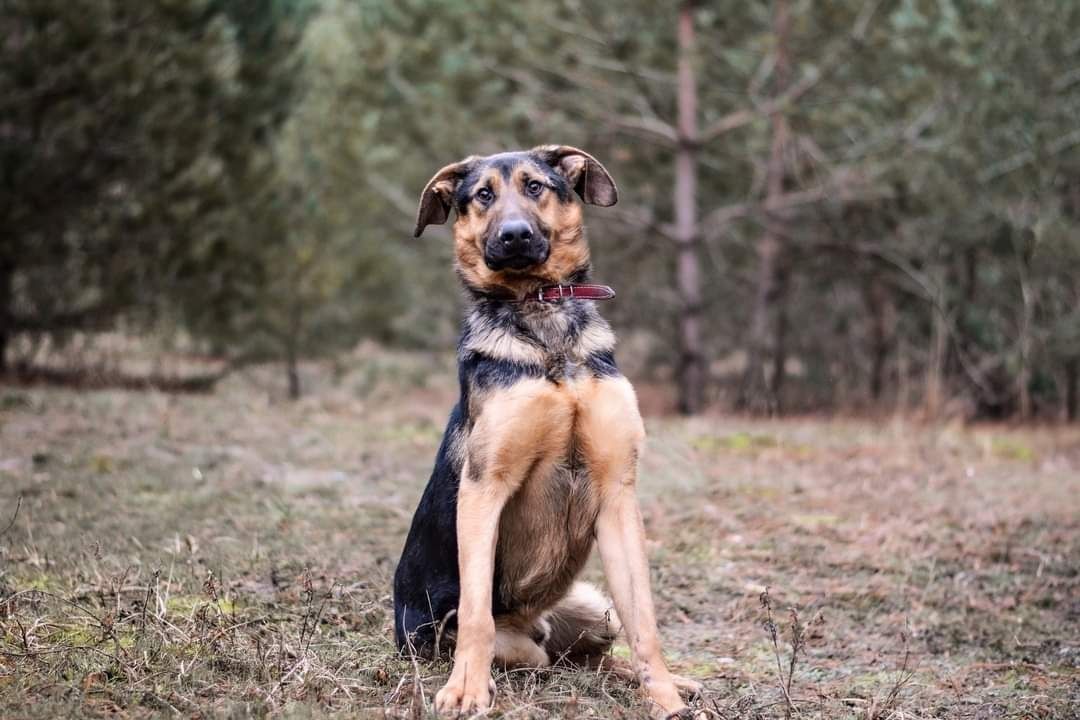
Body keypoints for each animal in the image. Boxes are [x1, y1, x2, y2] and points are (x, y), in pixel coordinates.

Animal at [397, 146, 699, 720]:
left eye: (535, 186)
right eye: (482, 196)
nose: (514, 235)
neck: (543, 316)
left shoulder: (617, 494)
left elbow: (644, 622)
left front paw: (666, 698)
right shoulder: (484, 489)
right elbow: (476, 613)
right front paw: (465, 690)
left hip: (594, 606)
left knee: (592, 657)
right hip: (480, 637)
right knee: (538, 655)